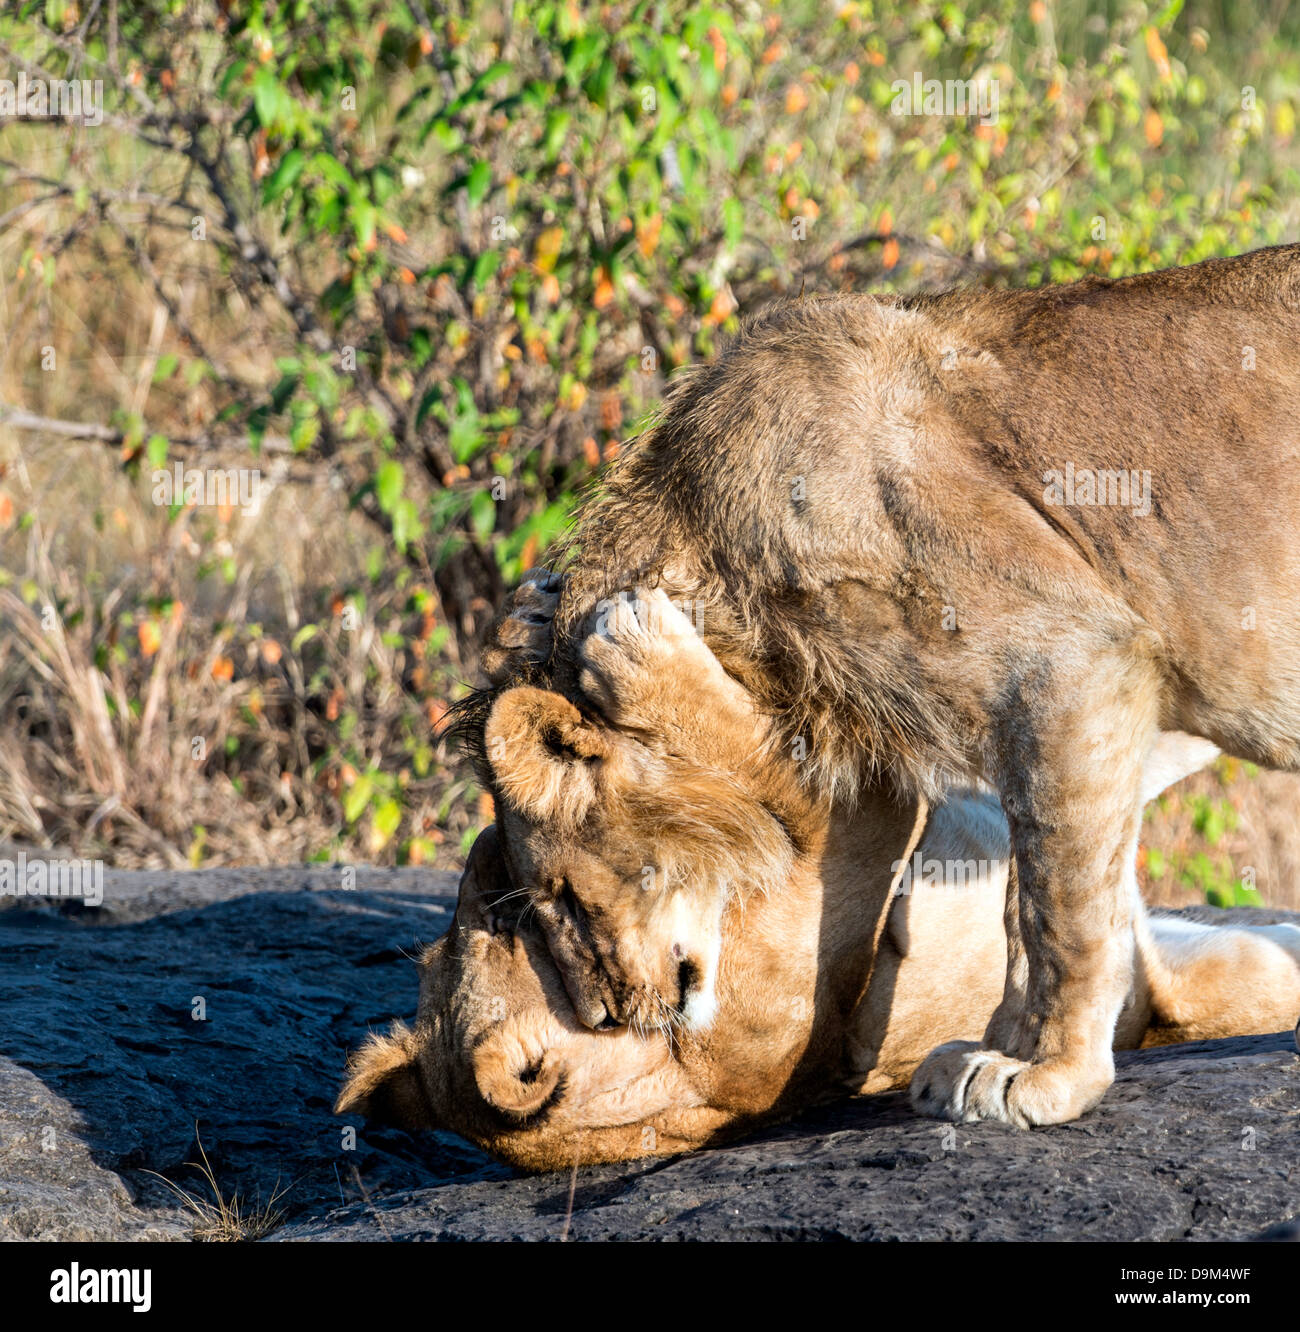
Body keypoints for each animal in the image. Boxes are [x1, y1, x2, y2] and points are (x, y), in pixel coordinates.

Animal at [461, 245, 1300, 1129]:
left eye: (563, 897)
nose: (605, 1018)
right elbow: (1021, 901)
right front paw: (995, 1047)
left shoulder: (1072, 657)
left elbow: (1060, 903)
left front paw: (1047, 1071)